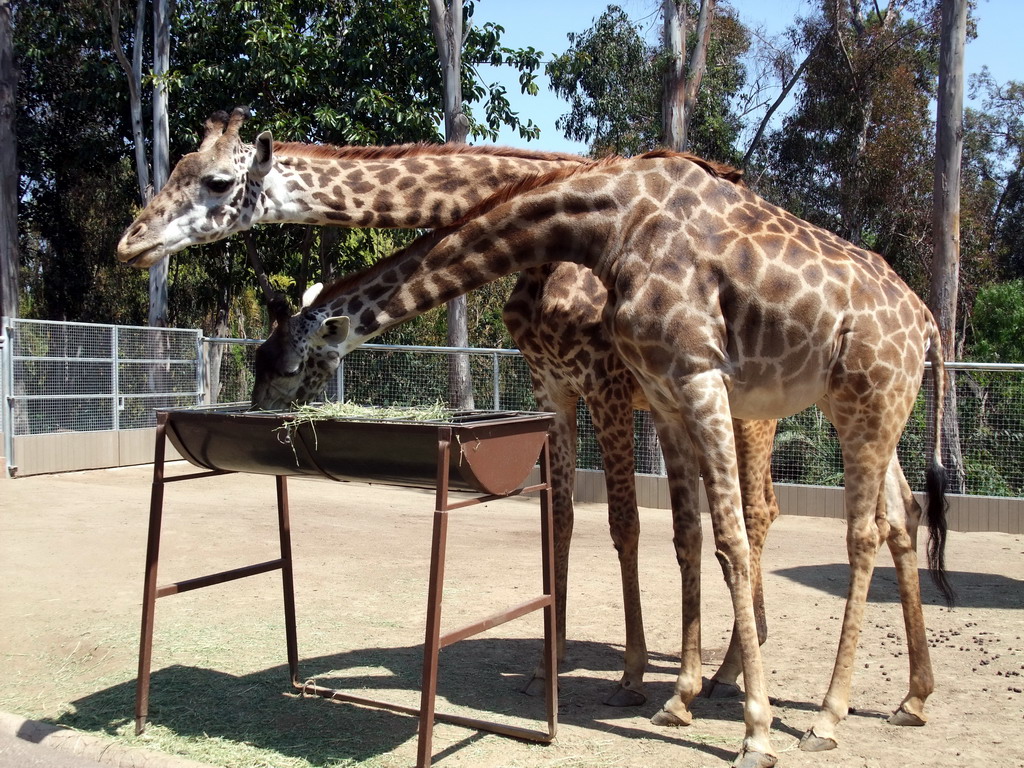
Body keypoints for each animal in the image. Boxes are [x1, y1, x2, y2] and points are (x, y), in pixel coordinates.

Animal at [114, 108, 774, 704]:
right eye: (177, 165)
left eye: (216, 181)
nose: (130, 242)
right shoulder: (552, 383)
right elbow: (561, 518)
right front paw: (547, 667)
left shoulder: (605, 383)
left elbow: (624, 521)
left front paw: (631, 677)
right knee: (733, 513)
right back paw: (730, 664)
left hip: (746, 406)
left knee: (755, 511)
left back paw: (728, 674)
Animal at [245, 151, 950, 768]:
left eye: (285, 363)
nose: (258, 412)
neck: (606, 224)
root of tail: (928, 324)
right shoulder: (622, 390)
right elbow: (658, 530)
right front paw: (653, 691)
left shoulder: (667, 379)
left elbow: (694, 535)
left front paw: (745, 728)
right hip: (863, 412)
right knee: (900, 515)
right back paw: (909, 698)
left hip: (842, 404)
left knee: (839, 529)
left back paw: (821, 714)